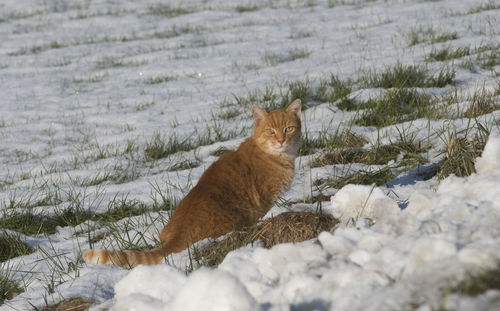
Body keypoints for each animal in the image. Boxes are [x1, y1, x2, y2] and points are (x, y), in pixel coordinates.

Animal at [83, 100, 300, 268]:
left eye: (288, 128)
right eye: (271, 131)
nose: (281, 140)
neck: (275, 155)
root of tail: (177, 234)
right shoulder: (265, 201)